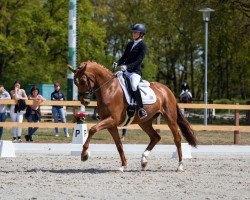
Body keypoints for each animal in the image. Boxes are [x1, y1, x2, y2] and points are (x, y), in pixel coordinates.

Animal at [68, 61, 197, 172]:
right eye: (75, 82)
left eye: (83, 80)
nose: (84, 101)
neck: (109, 89)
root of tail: (167, 90)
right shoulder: (111, 124)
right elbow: (119, 145)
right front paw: (123, 166)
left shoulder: (112, 120)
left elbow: (93, 129)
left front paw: (84, 155)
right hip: (144, 122)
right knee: (155, 137)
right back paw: (144, 160)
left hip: (170, 118)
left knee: (177, 139)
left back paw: (180, 166)